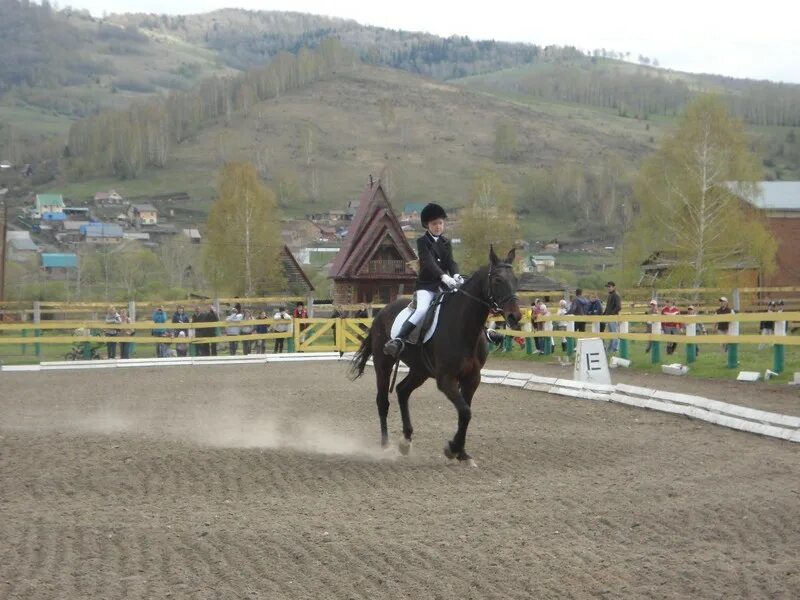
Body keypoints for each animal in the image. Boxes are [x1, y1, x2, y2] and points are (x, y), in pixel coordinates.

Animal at [350, 248, 524, 464]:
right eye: (498, 280)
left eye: (515, 279)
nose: (515, 317)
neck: (464, 327)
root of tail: (381, 312)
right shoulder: (446, 379)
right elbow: (465, 411)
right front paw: (453, 448)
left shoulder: (472, 378)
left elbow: (465, 413)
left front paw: (461, 452)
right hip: (383, 365)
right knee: (383, 401)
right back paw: (385, 445)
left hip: (420, 370)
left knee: (402, 391)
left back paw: (405, 441)